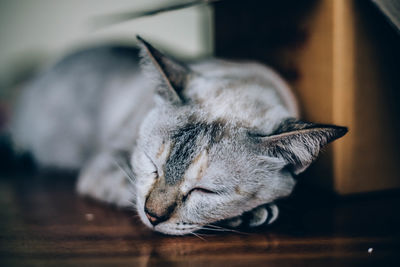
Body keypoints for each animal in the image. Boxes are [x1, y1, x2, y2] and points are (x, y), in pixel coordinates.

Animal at [10, 36, 346, 236]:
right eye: (152, 166)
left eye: (205, 191)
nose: (152, 217)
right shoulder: (108, 166)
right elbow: (129, 188)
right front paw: (248, 216)